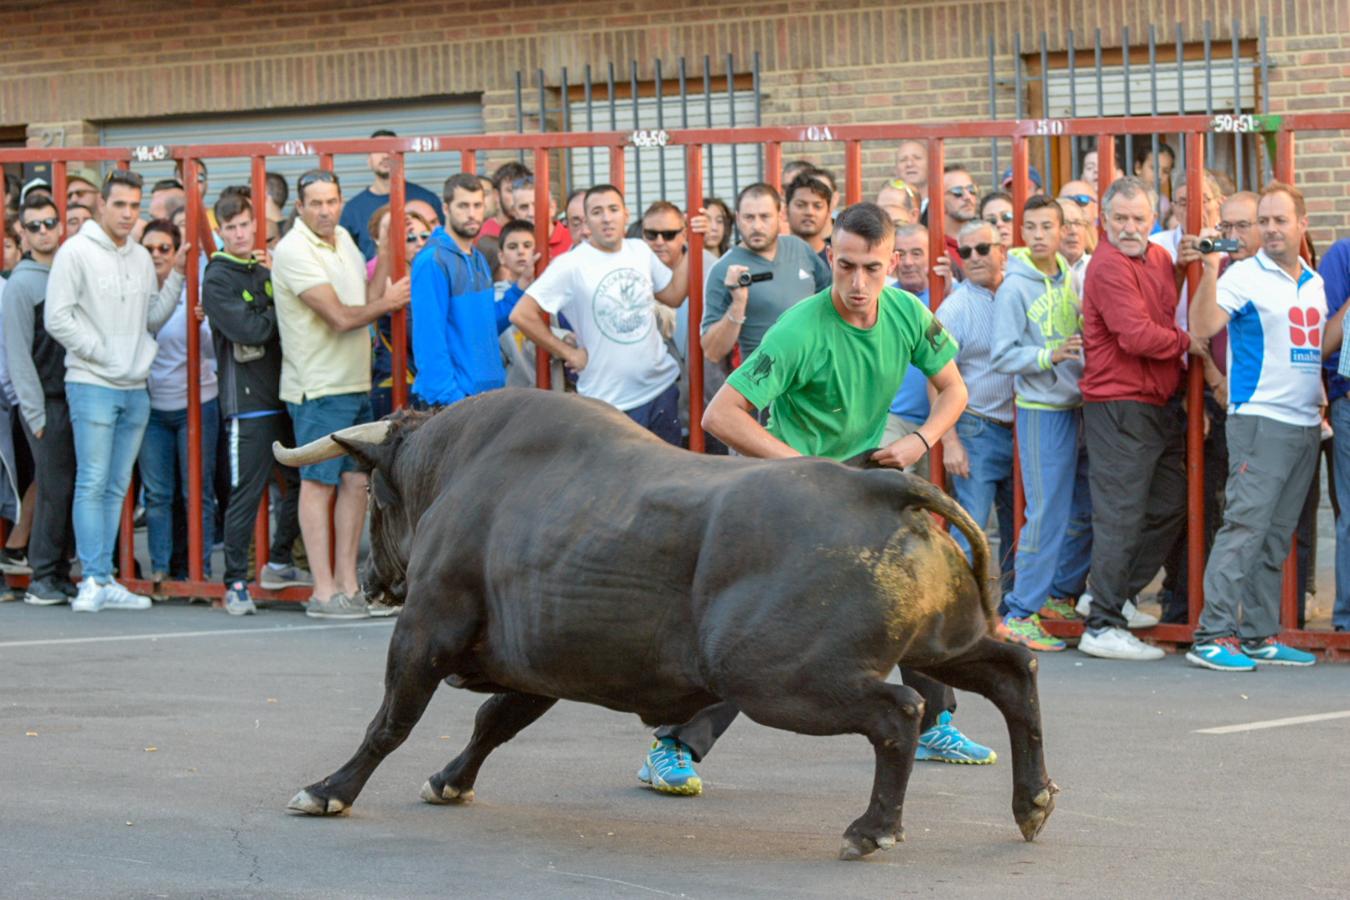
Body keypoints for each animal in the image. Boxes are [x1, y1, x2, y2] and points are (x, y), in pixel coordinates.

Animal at [274, 391, 1053, 863]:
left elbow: (391, 722)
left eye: (375, 498)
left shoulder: (424, 631)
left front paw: (329, 789)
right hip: (940, 642)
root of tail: (880, 485)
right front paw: (449, 779)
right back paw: (1033, 801)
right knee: (1012, 672)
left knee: (900, 712)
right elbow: (494, 722)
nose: (367, 575)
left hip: (780, 680)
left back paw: (874, 828)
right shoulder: (543, 663)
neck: (463, 466)